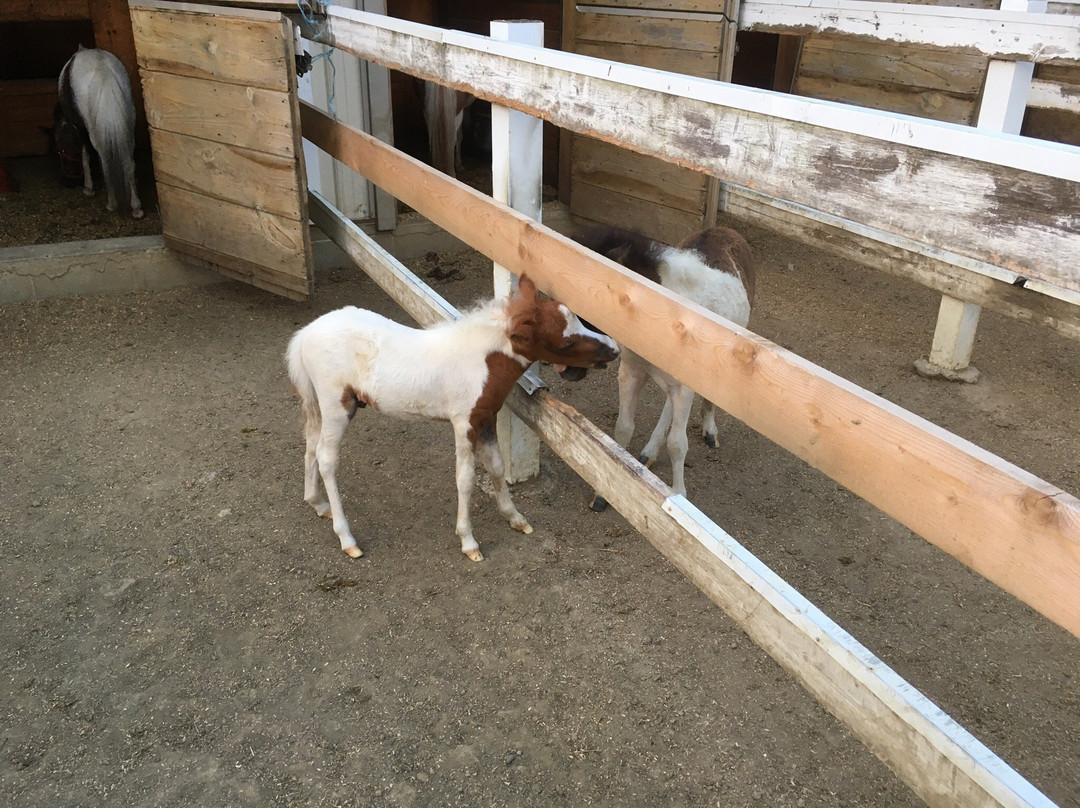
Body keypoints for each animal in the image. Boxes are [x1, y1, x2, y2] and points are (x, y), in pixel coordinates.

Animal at [287, 278, 622, 561]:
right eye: (565, 344)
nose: (614, 349)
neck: (482, 361)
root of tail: (305, 335)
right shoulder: (465, 424)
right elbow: (465, 479)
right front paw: (468, 541)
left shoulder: (487, 419)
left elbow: (497, 467)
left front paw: (515, 518)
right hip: (337, 407)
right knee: (326, 458)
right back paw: (347, 538)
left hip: (321, 407)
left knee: (310, 445)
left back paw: (318, 504)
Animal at [570, 223, 756, 507]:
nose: (569, 370)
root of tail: (725, 229)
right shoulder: (631, 373)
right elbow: (622, 429)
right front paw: (604, 494)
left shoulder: (685, 385)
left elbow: (677, 444)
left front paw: (678, 496)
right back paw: (649, 452)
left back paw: (709, 431)